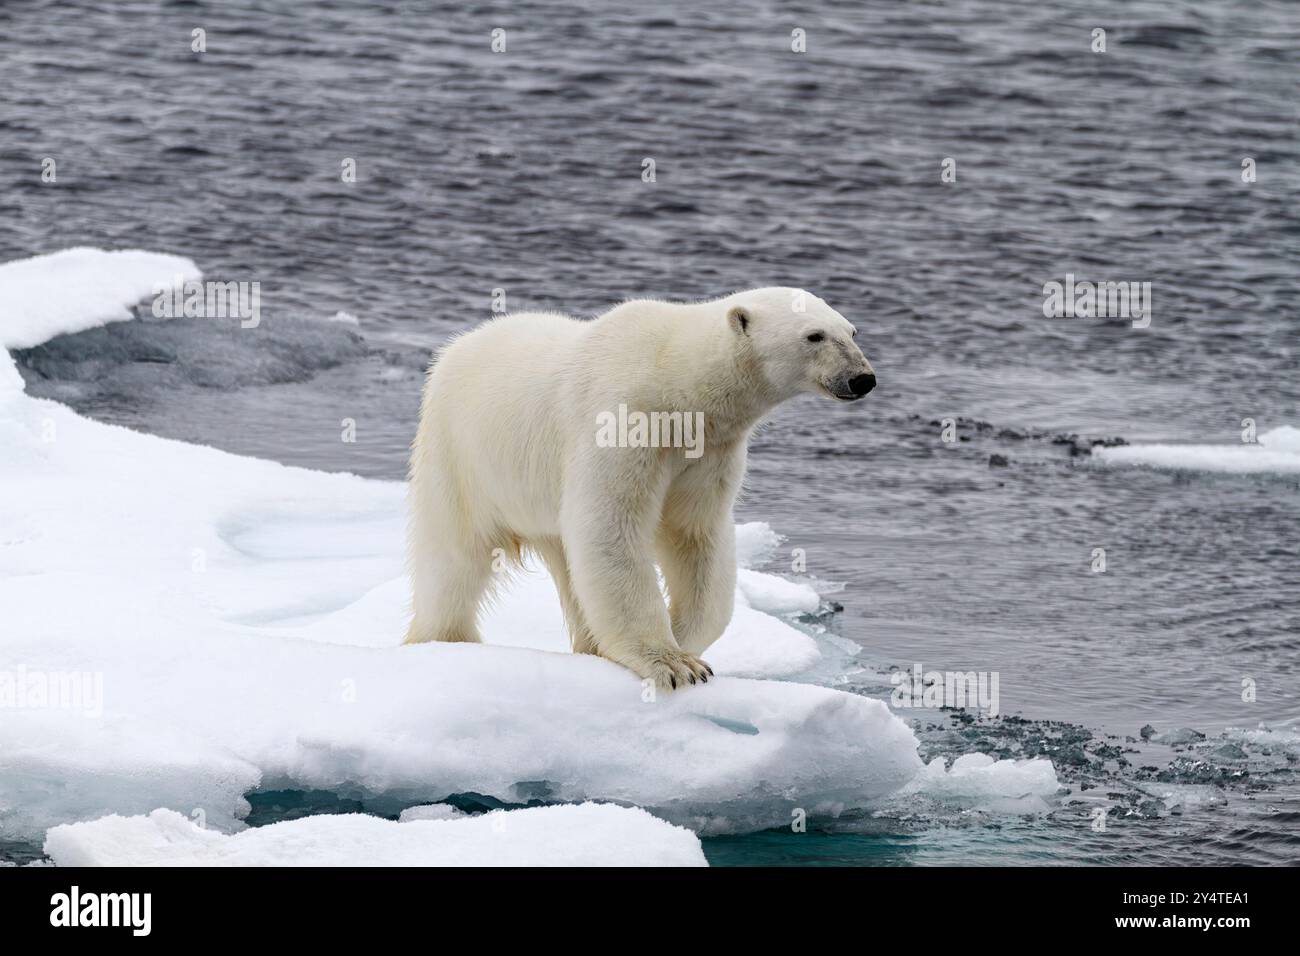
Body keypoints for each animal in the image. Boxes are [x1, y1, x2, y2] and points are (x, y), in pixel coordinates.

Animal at [405, 287, 873, 691]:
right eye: (814, 335)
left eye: (851, 331)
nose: (862, 378)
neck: (676, 381)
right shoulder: (623, 421)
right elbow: (612, 527)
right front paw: (672, 664)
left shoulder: (711, 450)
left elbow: (695, 535)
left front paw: (684, 643)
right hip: (460, 455)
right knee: (454, 557)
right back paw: (441, 639)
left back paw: (590, 647)